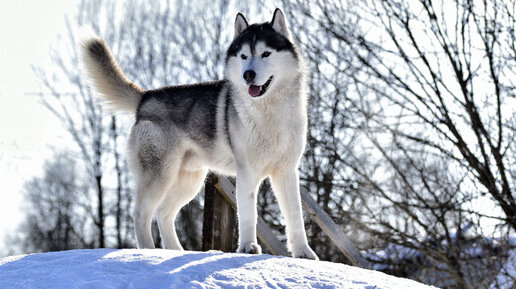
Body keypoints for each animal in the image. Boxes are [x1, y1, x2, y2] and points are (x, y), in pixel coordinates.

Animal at [78, 8, 316, 258]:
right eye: (243, 56)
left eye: (266, 53)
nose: (248, 75)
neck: (269, 111)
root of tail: (145, 97)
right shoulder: (247, 172)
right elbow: (248, 214)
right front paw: (248, 247)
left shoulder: (286, 171)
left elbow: (295, 216)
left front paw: (304, 253)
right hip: (160, 175)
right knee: (141, 213)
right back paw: (148, 251)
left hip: (189, 180)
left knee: (163, 213)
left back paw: (175, 251)